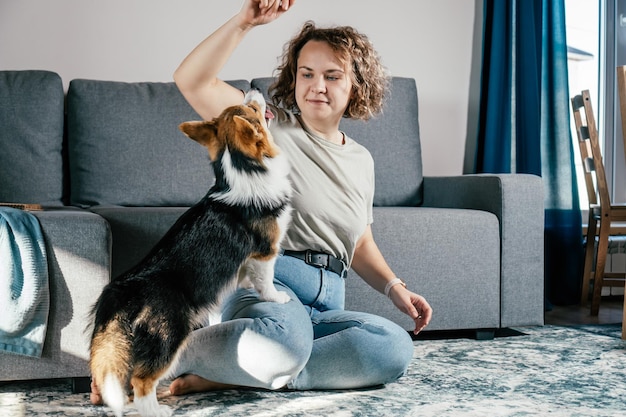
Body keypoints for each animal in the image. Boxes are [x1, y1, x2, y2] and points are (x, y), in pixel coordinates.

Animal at [88, 90, 290, 416]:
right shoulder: (264, 252)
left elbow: (249, 276)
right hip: (169, 336)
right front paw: (276, 297)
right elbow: (266, 281)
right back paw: (155, 410)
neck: (244, 169)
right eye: (252, 108)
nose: (253, 91)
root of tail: (123, 292)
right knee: (143, 379)